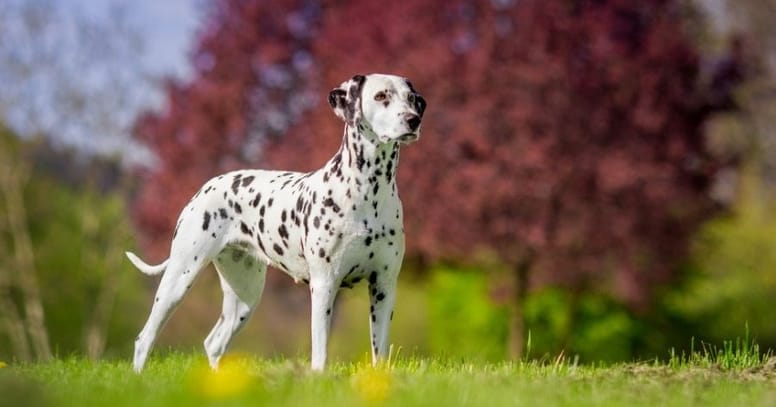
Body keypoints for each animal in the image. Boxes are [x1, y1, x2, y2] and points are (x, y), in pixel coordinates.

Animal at [130, 73, 428, 372]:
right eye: (381, 96)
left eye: (411, 98)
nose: (413, 119)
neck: (369, 190)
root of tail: (207, 186)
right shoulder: (324, 285)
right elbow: (320, 355)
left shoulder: (383, 287)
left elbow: (380, 354)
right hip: (179, 278)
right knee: (145, 338)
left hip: (245, 296)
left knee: (213, 343)